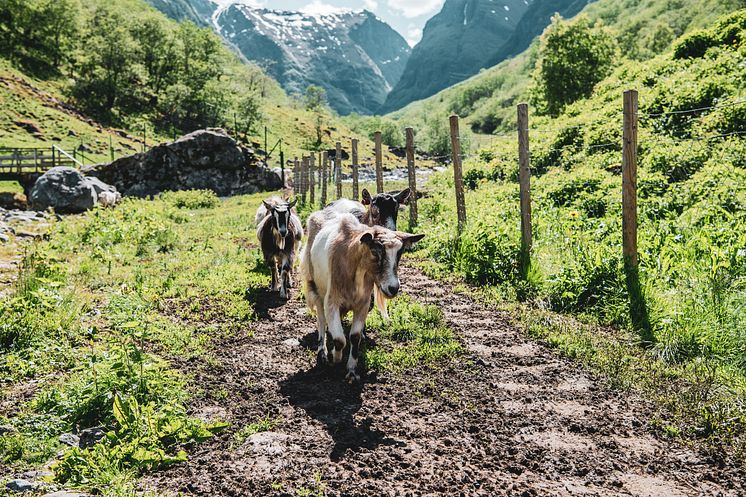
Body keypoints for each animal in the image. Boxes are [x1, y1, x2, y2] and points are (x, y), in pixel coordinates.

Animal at [300, 213, 422, 380]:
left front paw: (351, 370)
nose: (393, 288)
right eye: (375, 251)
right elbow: (339, 340)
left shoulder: (363, 304)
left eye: (400, 253)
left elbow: (354, 336)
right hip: (317, 291)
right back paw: (322, 353)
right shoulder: (331, 302)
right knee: (321, 322)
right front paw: (335, 358)